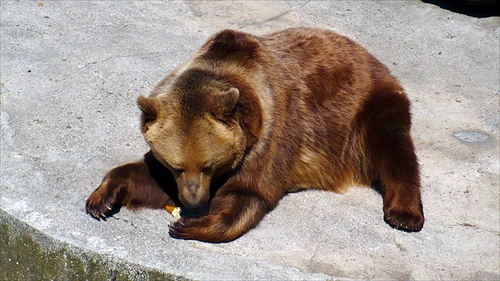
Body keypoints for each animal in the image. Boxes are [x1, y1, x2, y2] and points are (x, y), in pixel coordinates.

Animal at [87, 27, 426, 243]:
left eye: (209, 165)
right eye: (177, 165)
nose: (194, 201)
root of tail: (366, 52)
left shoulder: (271, 133)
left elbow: (249, 193)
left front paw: (191, 225)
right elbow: (149, 176)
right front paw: (102, 200)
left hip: (367, 107)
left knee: (393, 147)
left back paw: (404, 213)